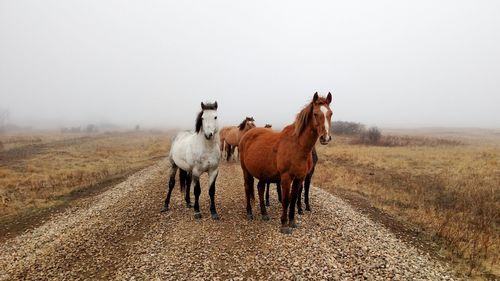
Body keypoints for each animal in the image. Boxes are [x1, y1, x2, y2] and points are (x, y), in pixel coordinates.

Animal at [238, 92, 332, 234]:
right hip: (246, 171)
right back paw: (249, 213)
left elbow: (293, 198)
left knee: (260, 188)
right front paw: (284, 224)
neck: (298, 146)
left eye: (330, 113)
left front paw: (292, 221)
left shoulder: (300, 178)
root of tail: (247, 134)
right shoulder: (286, 177)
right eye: (315, 114)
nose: (325, 138)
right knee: (247, 188)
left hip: (263, 173)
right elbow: (286, 199)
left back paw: (264, 214)